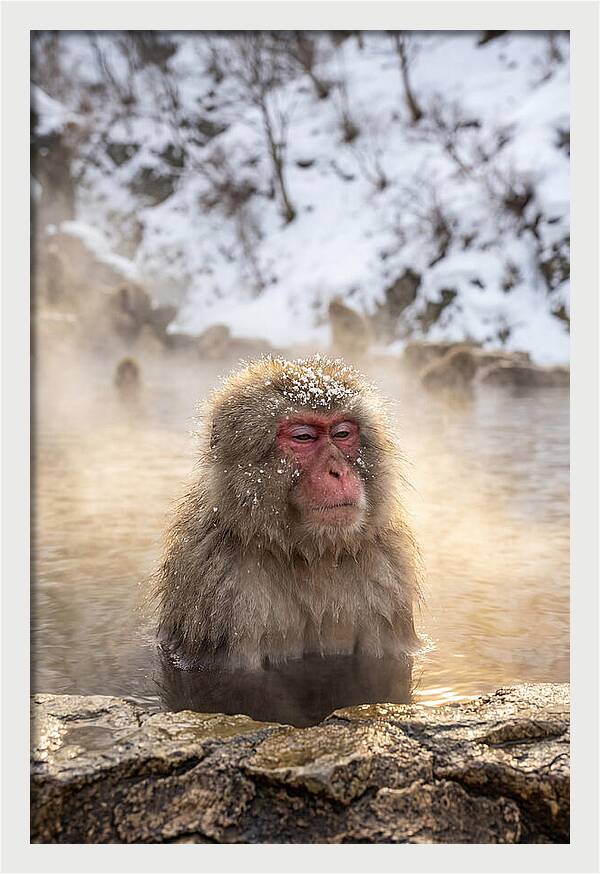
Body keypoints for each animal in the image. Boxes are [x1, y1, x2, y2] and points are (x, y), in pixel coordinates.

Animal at [154, 355, 422, 671]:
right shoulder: (219, 587)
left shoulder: (387, 576)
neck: (310, 555)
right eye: (303, 437)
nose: (339, 471)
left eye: (342, 433)